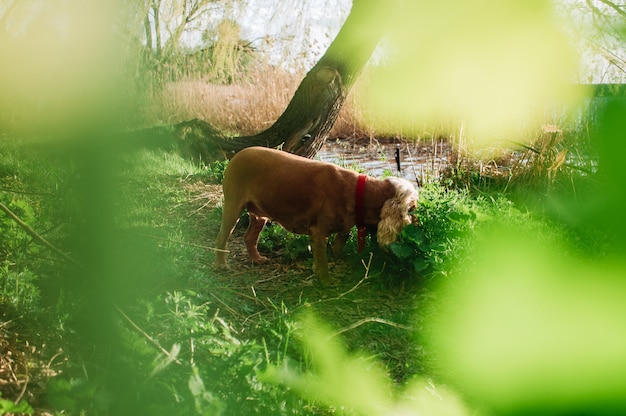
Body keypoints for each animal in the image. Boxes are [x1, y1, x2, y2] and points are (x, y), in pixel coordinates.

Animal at [212, 146, 416, 286]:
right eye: (412, 208)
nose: (415, 222)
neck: (360, 193)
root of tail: (237, 154)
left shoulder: (342, 225)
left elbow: (340, 240)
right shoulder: (318, 231)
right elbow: (322, 260)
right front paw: (326, 280)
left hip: (259, 215)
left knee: (249, 237)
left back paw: (257, 259)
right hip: (233, 207)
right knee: (221, 237)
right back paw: (221, 265)